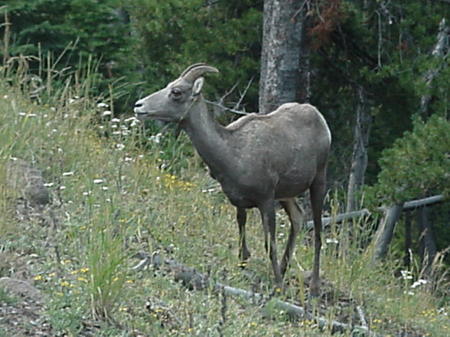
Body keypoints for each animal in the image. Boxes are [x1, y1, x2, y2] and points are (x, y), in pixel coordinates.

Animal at [134, 63, 330, 294]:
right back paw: (283, 270)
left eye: (177, 92)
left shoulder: (265, 200)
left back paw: (314, 288)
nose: (139, 106)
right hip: (286, 194)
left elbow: (269, 245)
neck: (233, 153)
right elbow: (243, 247)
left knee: (317, 234)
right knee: (298, 218)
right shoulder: (239, 203)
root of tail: (320, 119)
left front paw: (278, 287)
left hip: (318, 180)